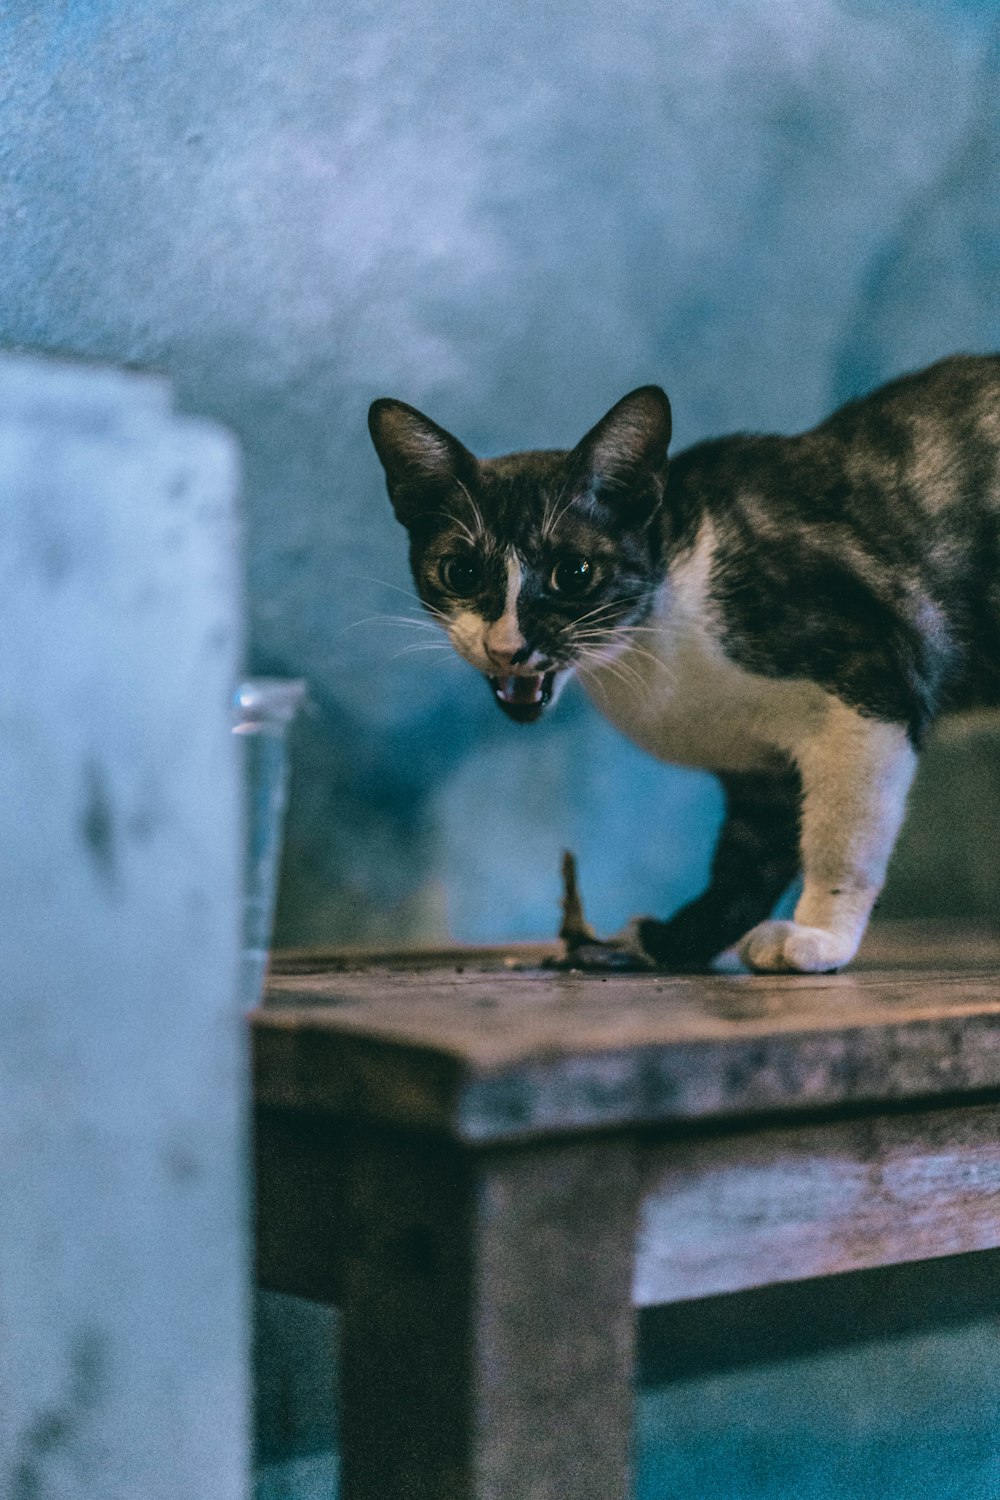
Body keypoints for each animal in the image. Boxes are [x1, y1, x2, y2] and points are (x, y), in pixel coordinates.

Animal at [371, 357, 1000, 978]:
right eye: (459, 572)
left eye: (574, 573)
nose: (507, 645)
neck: (658, 636)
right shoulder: (761, 773)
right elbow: (747, 860)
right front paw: (673, 942)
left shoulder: (869, 684)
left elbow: (842, 833)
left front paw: (819, 936)